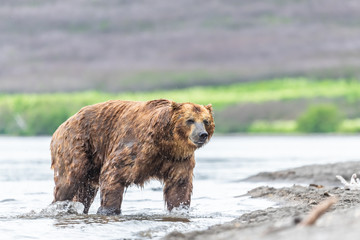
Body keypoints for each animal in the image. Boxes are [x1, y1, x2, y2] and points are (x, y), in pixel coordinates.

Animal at [50, 98, 214, 215]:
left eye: (206, 121)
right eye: (190, 120)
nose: (202, 134)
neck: (164, 142)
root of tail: (64, 123)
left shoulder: (178, 159)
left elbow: (179, 185)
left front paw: (179, 209)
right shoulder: (134, 147)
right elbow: (113, 173)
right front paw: (109, 210)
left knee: (86, 191)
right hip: (78, 146)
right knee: (68, 182)